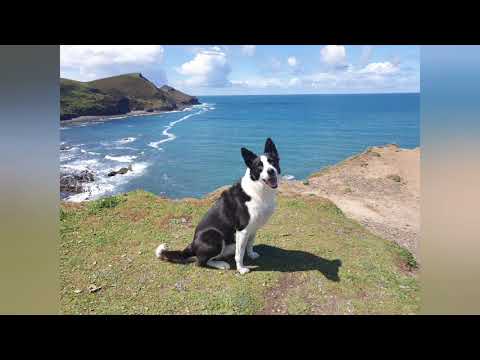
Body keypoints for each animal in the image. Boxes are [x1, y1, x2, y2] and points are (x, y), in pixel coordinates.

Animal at [154, 138, 282, 276]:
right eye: (259, 167)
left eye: (272, 162)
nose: (271, 171)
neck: (258, 189)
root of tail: (192, 245)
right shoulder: (242, 230)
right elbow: (240, 253)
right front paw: (241, 268)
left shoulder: (253, 228)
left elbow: (249, 244)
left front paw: (251, 254)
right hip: (215, 235)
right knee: (200, 262)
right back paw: (221, 264)